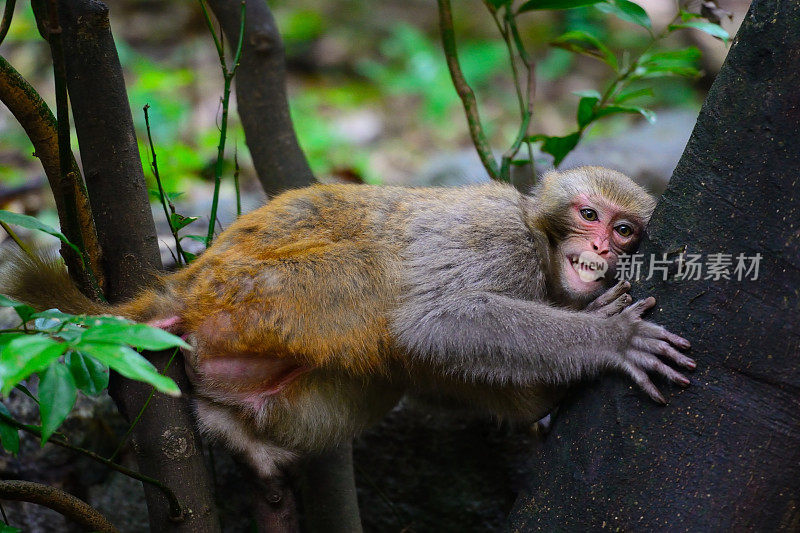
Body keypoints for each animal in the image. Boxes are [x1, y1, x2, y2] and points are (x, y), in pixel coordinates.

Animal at [0, 165, 692, 478]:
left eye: (625, 230)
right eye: (588, 214)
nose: (600, 248)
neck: (543, 253)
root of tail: (186, 283)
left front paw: (547, 399)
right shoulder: (499, 243)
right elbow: (434, 324)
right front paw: (609, 341)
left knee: (380, 376)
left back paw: (232, 430)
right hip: (262, 294)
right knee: (377, 291)